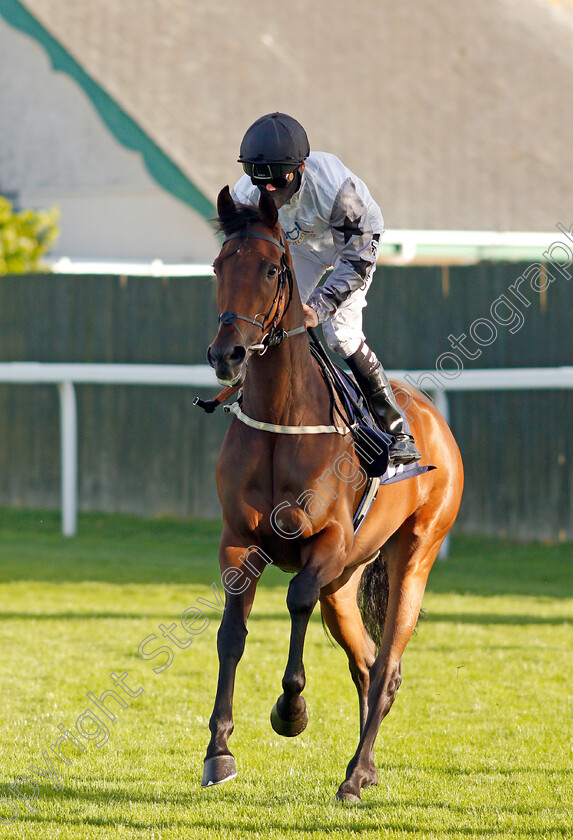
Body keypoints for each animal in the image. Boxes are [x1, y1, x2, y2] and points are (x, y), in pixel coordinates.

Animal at [203, 187, 462, 804]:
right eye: (220, 265)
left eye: (272, 269)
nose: (228, 354)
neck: (282, 420)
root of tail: (435, 421)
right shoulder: (238, 542)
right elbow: (230, 634)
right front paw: (218, 750)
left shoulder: (328, 543)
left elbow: (296, 598)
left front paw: (290, 710)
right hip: (345, 582)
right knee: (366, 663)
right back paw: (363, 770)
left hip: (413, 554)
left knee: (387, 667)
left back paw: (354, 775)